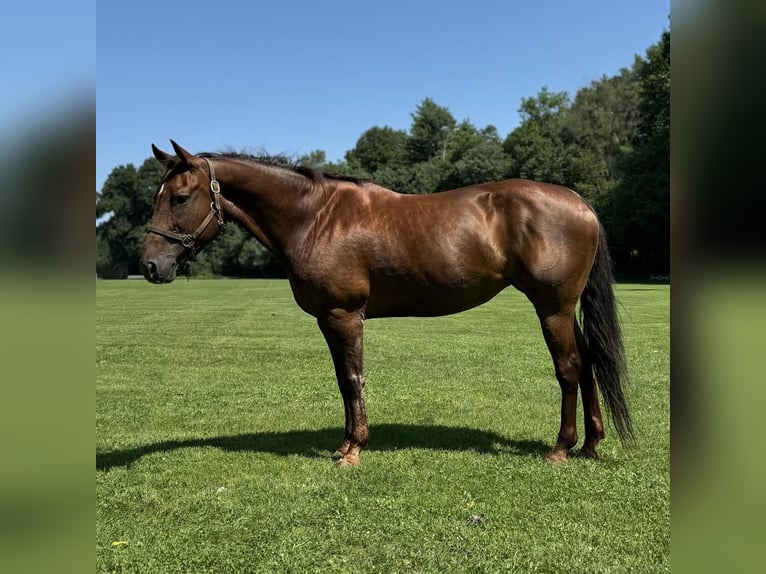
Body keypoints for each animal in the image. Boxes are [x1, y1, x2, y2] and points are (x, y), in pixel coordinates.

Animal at [141, 140, 632, 468]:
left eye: (180, 197)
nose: (149, 265)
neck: (315, 217)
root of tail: (580, 202)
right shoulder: (328, 320)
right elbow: (343, 381)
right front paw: (343, 444)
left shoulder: (345, 316)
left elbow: (353, 378)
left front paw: (354, 450)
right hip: (564, 310)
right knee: (588, 363)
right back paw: (591, 444)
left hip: (552, 308)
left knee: (569, 369)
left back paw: (561, 448)